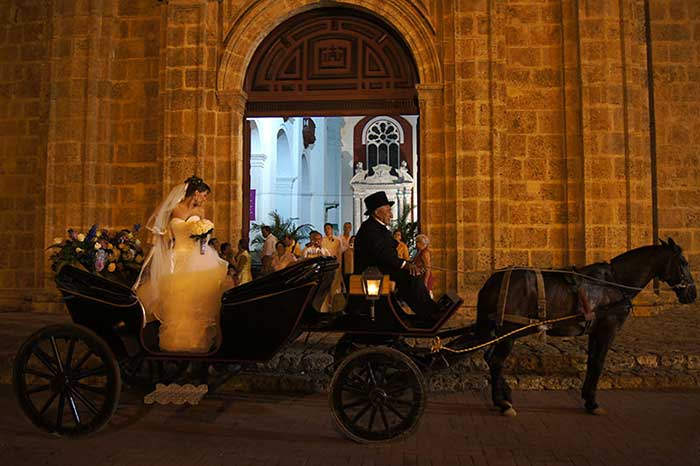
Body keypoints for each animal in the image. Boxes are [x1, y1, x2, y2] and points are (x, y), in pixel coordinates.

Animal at [474, 238, 696, 416]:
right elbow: (598, 363)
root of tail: (492, 281)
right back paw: (502, 403)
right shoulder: (608, 329)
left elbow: (591, 361)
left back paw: (505, 395)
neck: (615, 283)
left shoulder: (594, 331)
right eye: (683, 263)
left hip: (500, 331)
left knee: (489, 357)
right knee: (496, 362)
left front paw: (587, 397)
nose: (693, 294)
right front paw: (593, 402)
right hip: (508, 331)